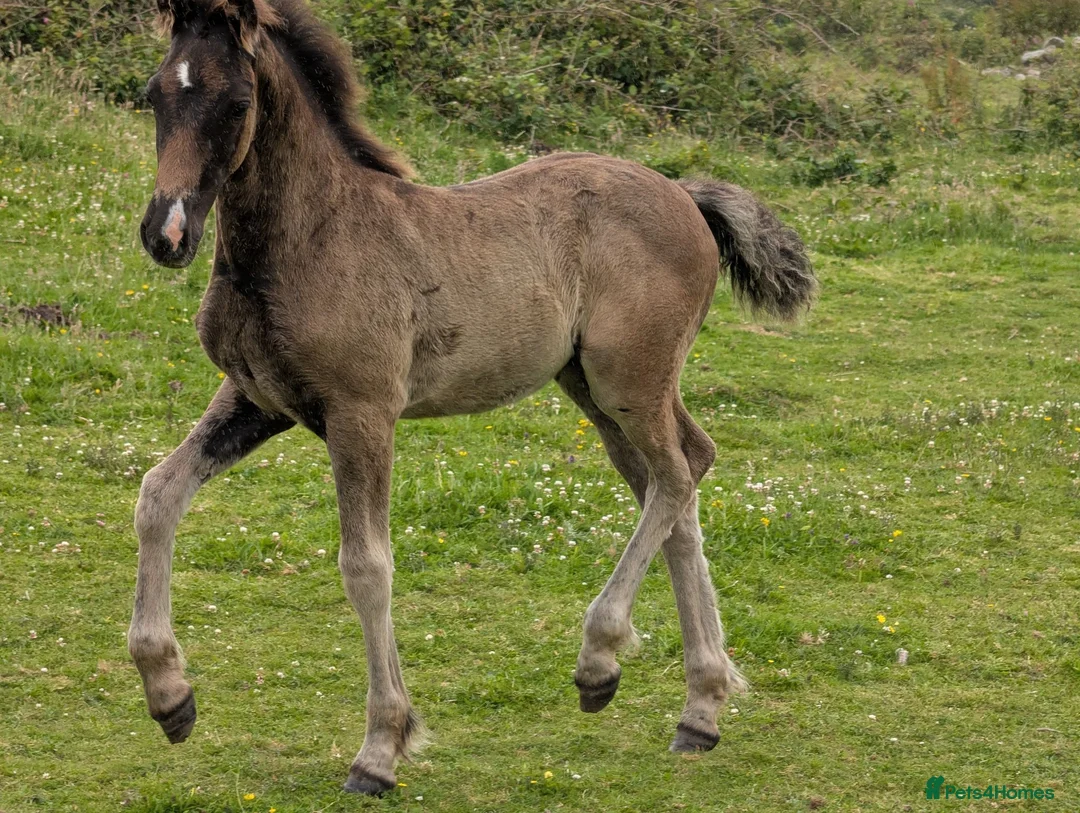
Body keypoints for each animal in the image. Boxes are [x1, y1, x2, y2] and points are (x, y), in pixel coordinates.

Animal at [130, 0, 816, 794]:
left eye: (237, 104)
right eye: (154, 94)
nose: (167, 233)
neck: (309, 238)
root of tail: (685, 195)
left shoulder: (362, 412)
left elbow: (366, 566)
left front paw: (381, 747)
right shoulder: (257, 400)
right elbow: (158, 493)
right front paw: (170, 696)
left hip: (628, 380)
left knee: (676, 477)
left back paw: (600, 661)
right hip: (597, 389)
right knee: (680, 480)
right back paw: (700, 709)